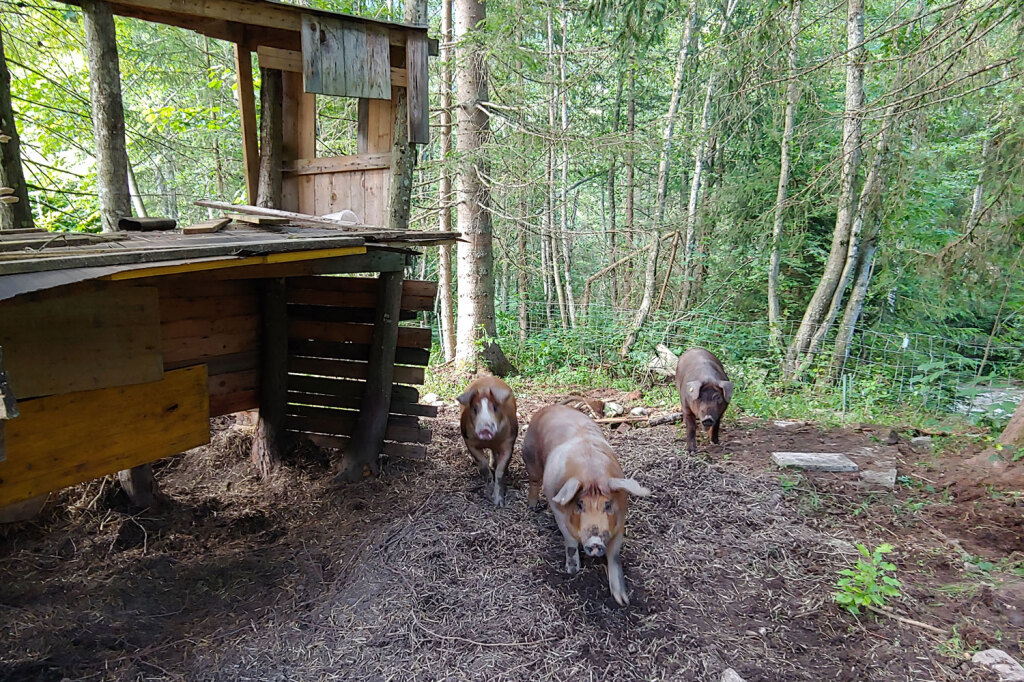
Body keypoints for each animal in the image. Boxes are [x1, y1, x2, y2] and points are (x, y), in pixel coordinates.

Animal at [524, 401, 651, 602]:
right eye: (579, 504)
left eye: (608, 505)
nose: (595, 541)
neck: (592, 476)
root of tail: (552, 406)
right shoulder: (558, 510)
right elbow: (570, 541)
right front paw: (572, 571)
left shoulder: (620, 522)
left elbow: (614, 556)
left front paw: (622, 599)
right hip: (530, 458)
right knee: (534, 482)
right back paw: (532, 507)